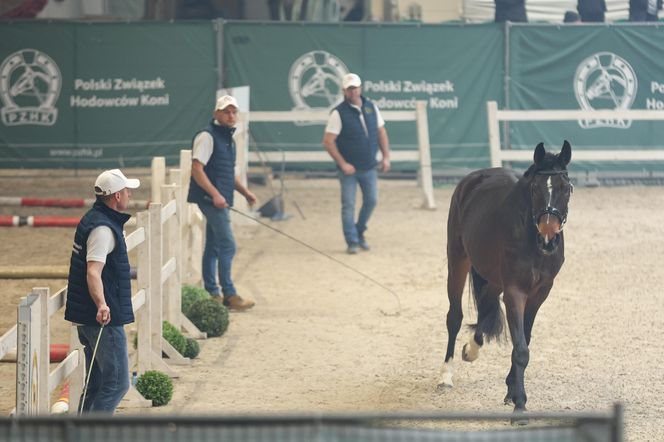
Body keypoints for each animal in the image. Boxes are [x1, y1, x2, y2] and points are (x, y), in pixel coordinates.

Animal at [438, 142, 572, 418]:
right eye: (535, 188)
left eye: (566, 187)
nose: (548, 235)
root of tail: (472, 179)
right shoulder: (515, 291)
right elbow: (520, 348)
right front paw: (520, 402)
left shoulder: (540, 293)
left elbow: (525, 340)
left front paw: (511, 390)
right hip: (458, 261)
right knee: (454, 317)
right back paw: (446, 376)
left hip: (494, 278)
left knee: (486, 305)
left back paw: (472, 349)